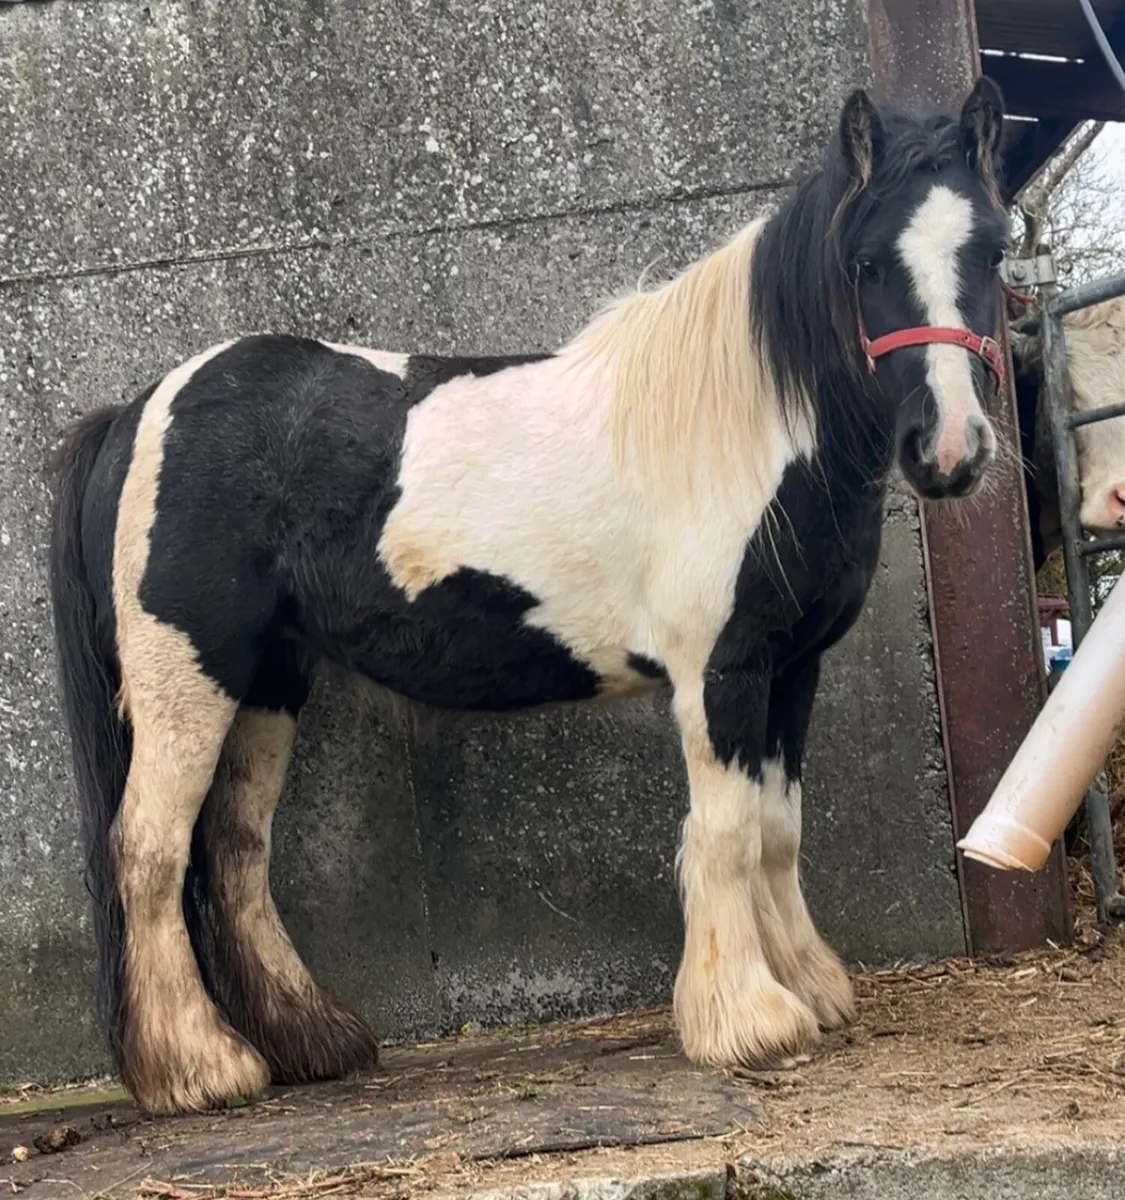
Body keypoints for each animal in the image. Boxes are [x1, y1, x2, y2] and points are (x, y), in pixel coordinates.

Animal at [48, 77, 1010, 1115]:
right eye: (865, 261)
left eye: (994, 249)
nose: (949, 451)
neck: (740, 428)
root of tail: (140, 408)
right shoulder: (717, 674)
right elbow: (722, 833)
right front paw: (747, 1022)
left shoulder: (790, 672)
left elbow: (776, 830)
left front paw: (812, 989)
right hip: (189, 672)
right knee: (150, 848)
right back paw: (198, 1068)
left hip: (266, 683)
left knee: (233, 850)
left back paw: (311, 1041)